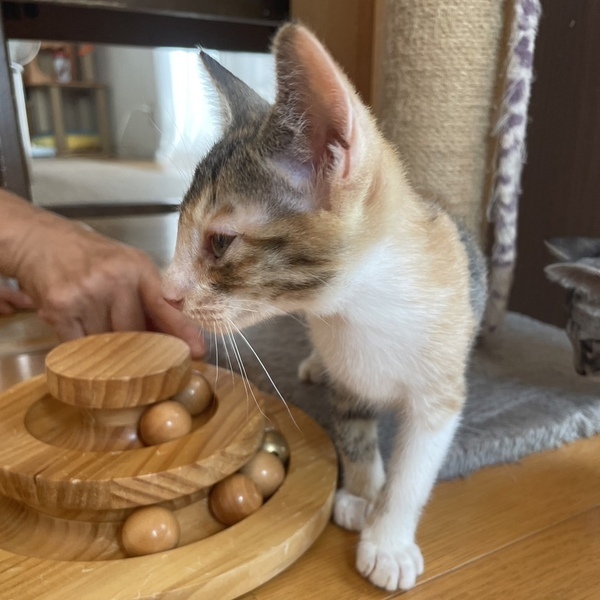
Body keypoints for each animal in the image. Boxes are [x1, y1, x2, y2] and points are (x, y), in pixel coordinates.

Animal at [162, 24, 487, 591]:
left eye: (220, 242)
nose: (168, 292)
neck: (361, 311)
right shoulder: (348, 380)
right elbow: (354, 435)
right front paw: (361, 493)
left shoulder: (439, 396)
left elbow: (414, 470)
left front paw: (388, 537)